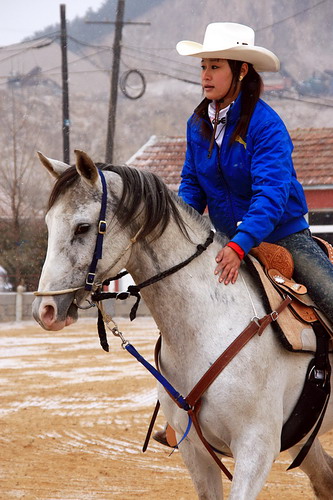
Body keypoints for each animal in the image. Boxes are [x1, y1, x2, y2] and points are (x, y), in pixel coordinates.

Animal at [33, 151, 332, 500]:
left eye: (82, 227)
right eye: (49, 224)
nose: (45, 310)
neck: (208, 326)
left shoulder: (255, 450)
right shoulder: (195, 451)